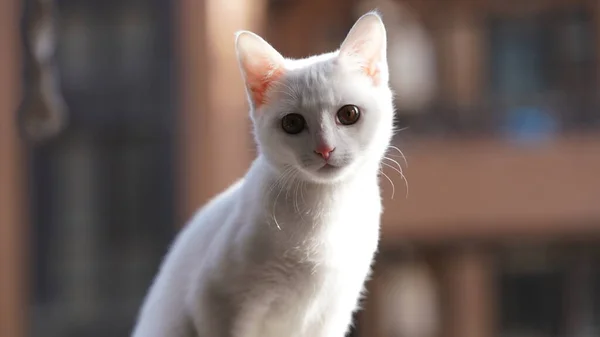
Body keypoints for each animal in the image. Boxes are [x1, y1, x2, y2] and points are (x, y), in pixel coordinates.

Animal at [134, 11, 398, 336]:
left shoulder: (334, 312)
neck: (325, 212)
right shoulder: (217, 301)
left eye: (349, 114)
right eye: (293, 123)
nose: (325, 149)